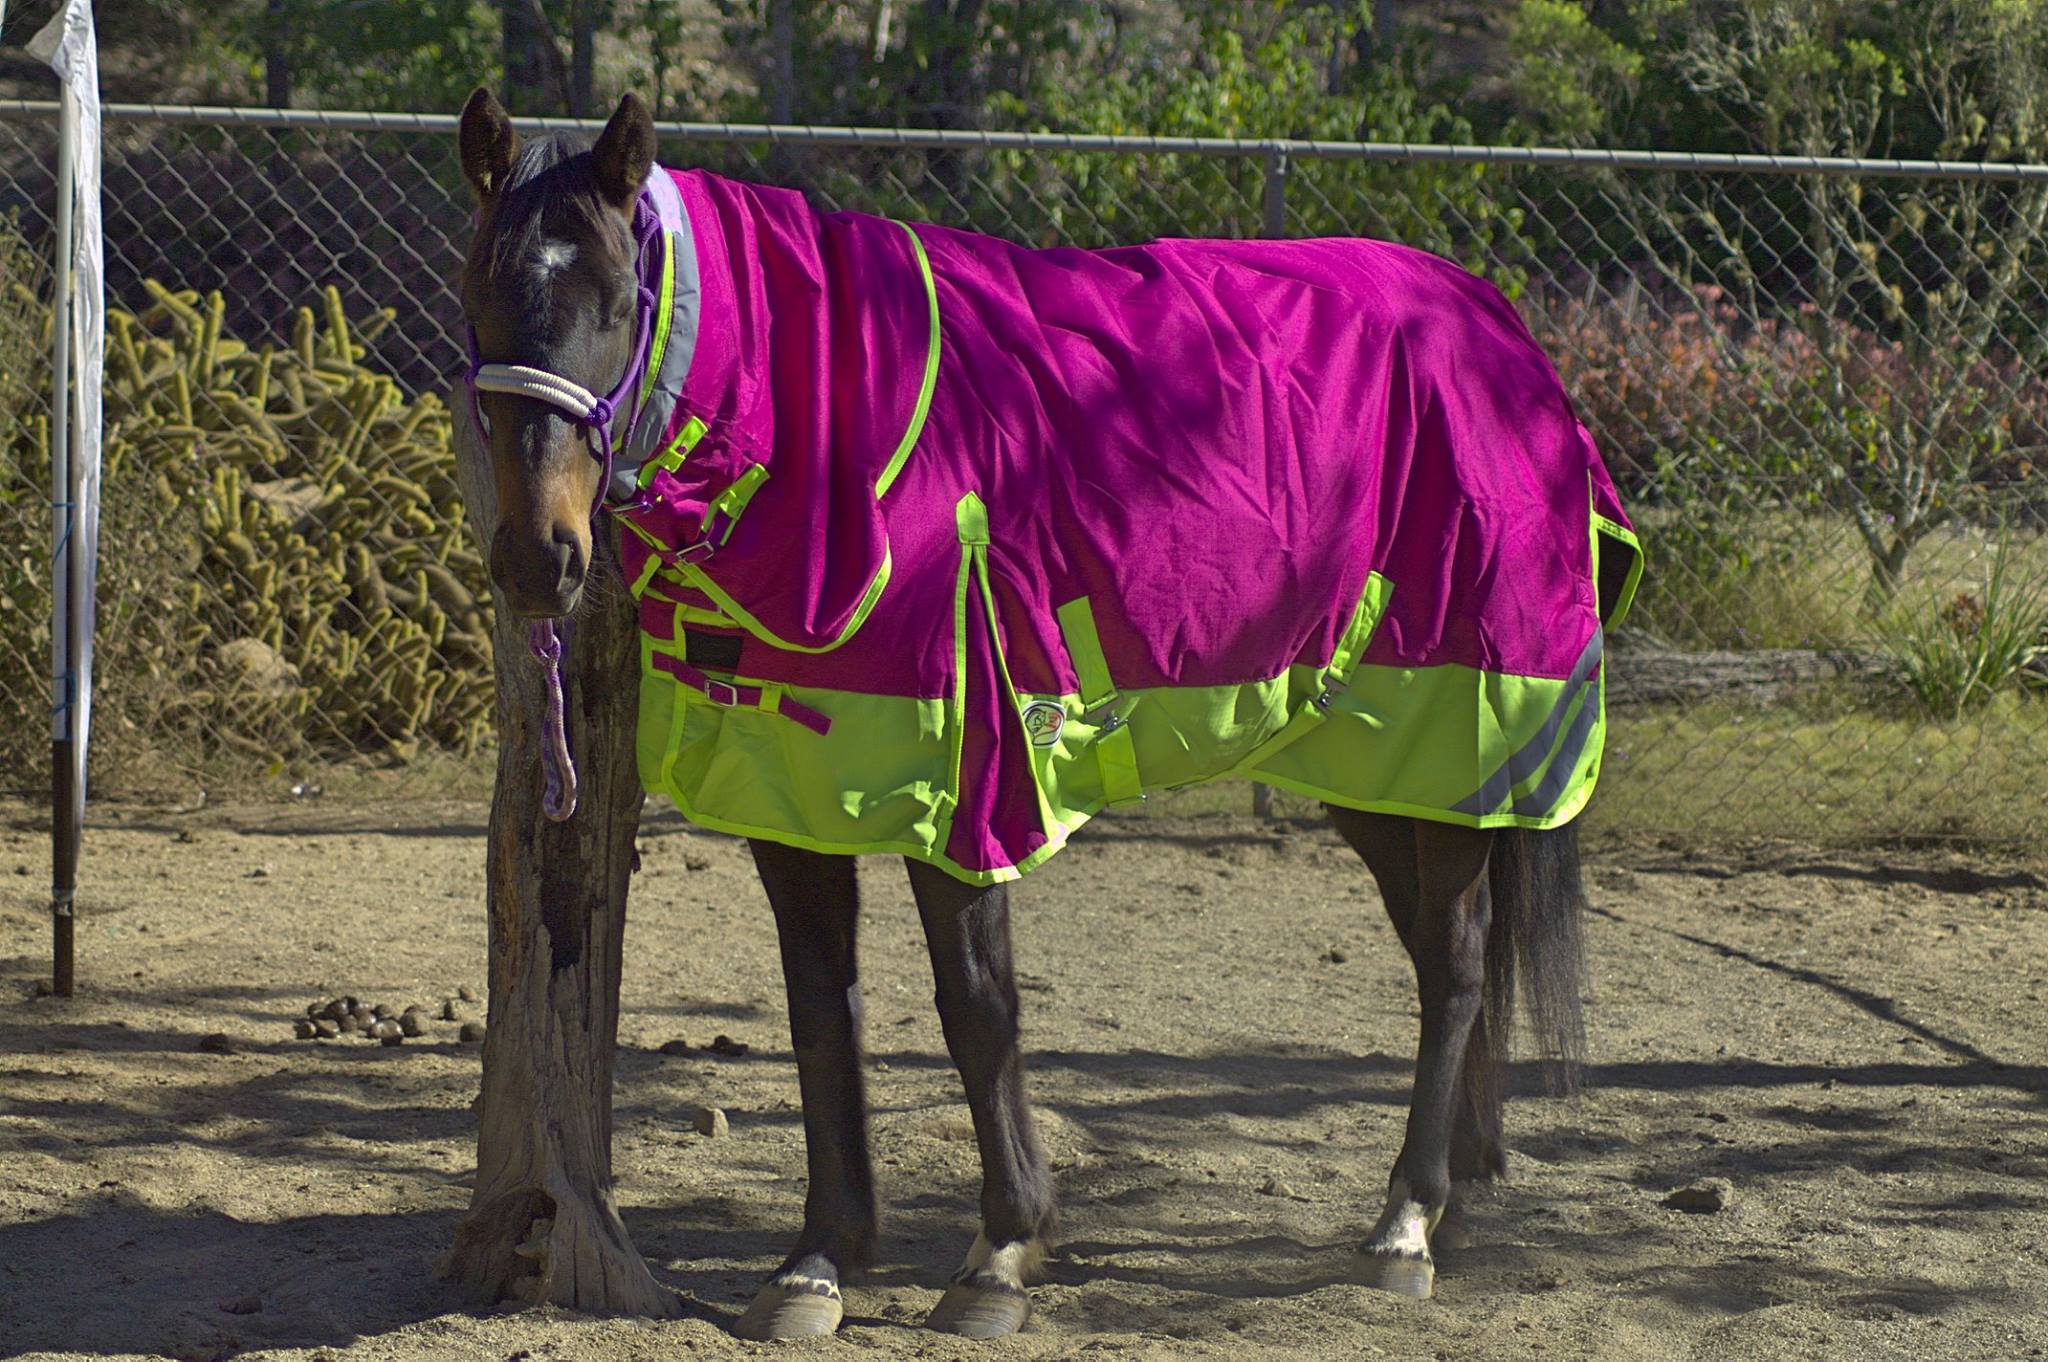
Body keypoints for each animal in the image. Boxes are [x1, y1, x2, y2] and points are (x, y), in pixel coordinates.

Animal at [454, 87, 1624, 1340]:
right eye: (481, 292)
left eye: (621, 299)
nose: (537, 561)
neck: (826, 437)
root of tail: (1500, 335)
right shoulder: (792, 787)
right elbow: (820, 1009)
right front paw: (818, 1261)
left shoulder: (965, 778)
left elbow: (977, 1006)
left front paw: (1001, 1254)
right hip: (1374, 758)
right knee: (1442, 950)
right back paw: (1455, 1192)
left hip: (1460, 731)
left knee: (1454, 958)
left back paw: (1404, 1223)